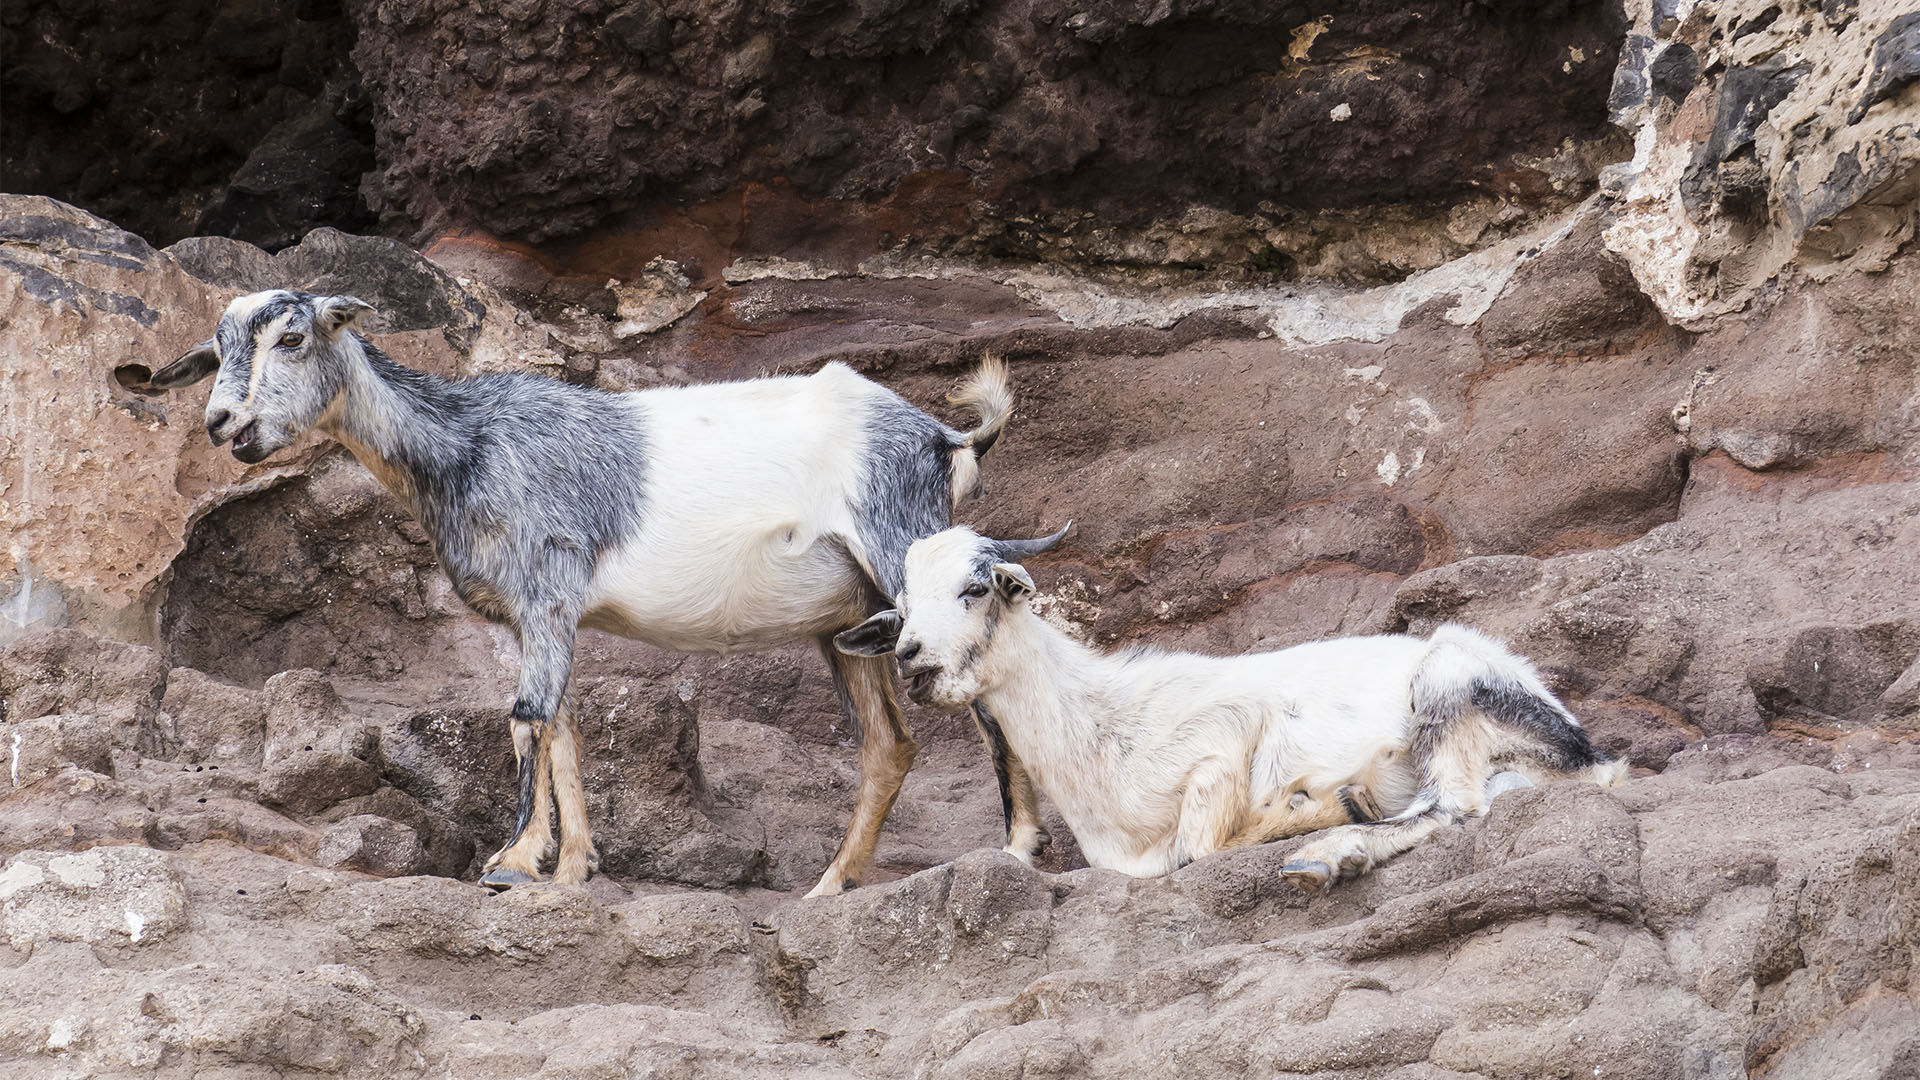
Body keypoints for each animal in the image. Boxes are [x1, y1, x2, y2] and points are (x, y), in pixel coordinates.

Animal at [144, 288, 1021, 891]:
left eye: (291, 338)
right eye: (215, 350)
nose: (223, 424)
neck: (467, 445)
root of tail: (945, 438)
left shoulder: (546, 593)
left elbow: (526, 718)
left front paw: (512, 859)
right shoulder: (539, 617)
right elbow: (562, 727)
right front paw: (570, 870)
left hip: (906, 554)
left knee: (989, 695)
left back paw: (1016, 853)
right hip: (849, 618)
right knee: (889, 742)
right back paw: (833, 885)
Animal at [833, 526, 1628, 887]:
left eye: (975, 588)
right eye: (901, 610)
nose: (913, 660)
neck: (1097, 722)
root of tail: (1585, 754)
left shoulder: (1225, 744)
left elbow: (1197, 848)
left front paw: (1308, 807)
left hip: (1447, 687)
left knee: (1456, 807)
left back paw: (1331, 842)